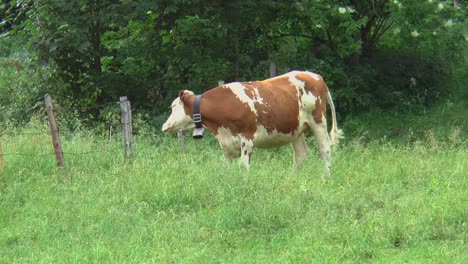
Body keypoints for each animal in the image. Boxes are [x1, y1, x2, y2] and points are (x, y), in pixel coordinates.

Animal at [162, 71, 344, 176]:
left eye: (173, 106)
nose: (165, 126)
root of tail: (315, 76)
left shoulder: (247, 138)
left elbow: (243, 166)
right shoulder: (226, 144)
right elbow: (226, 166)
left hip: (318, 121)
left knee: (325, 148)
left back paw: (325, 177)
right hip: (296, 130)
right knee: (301, 154)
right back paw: (291, 179)